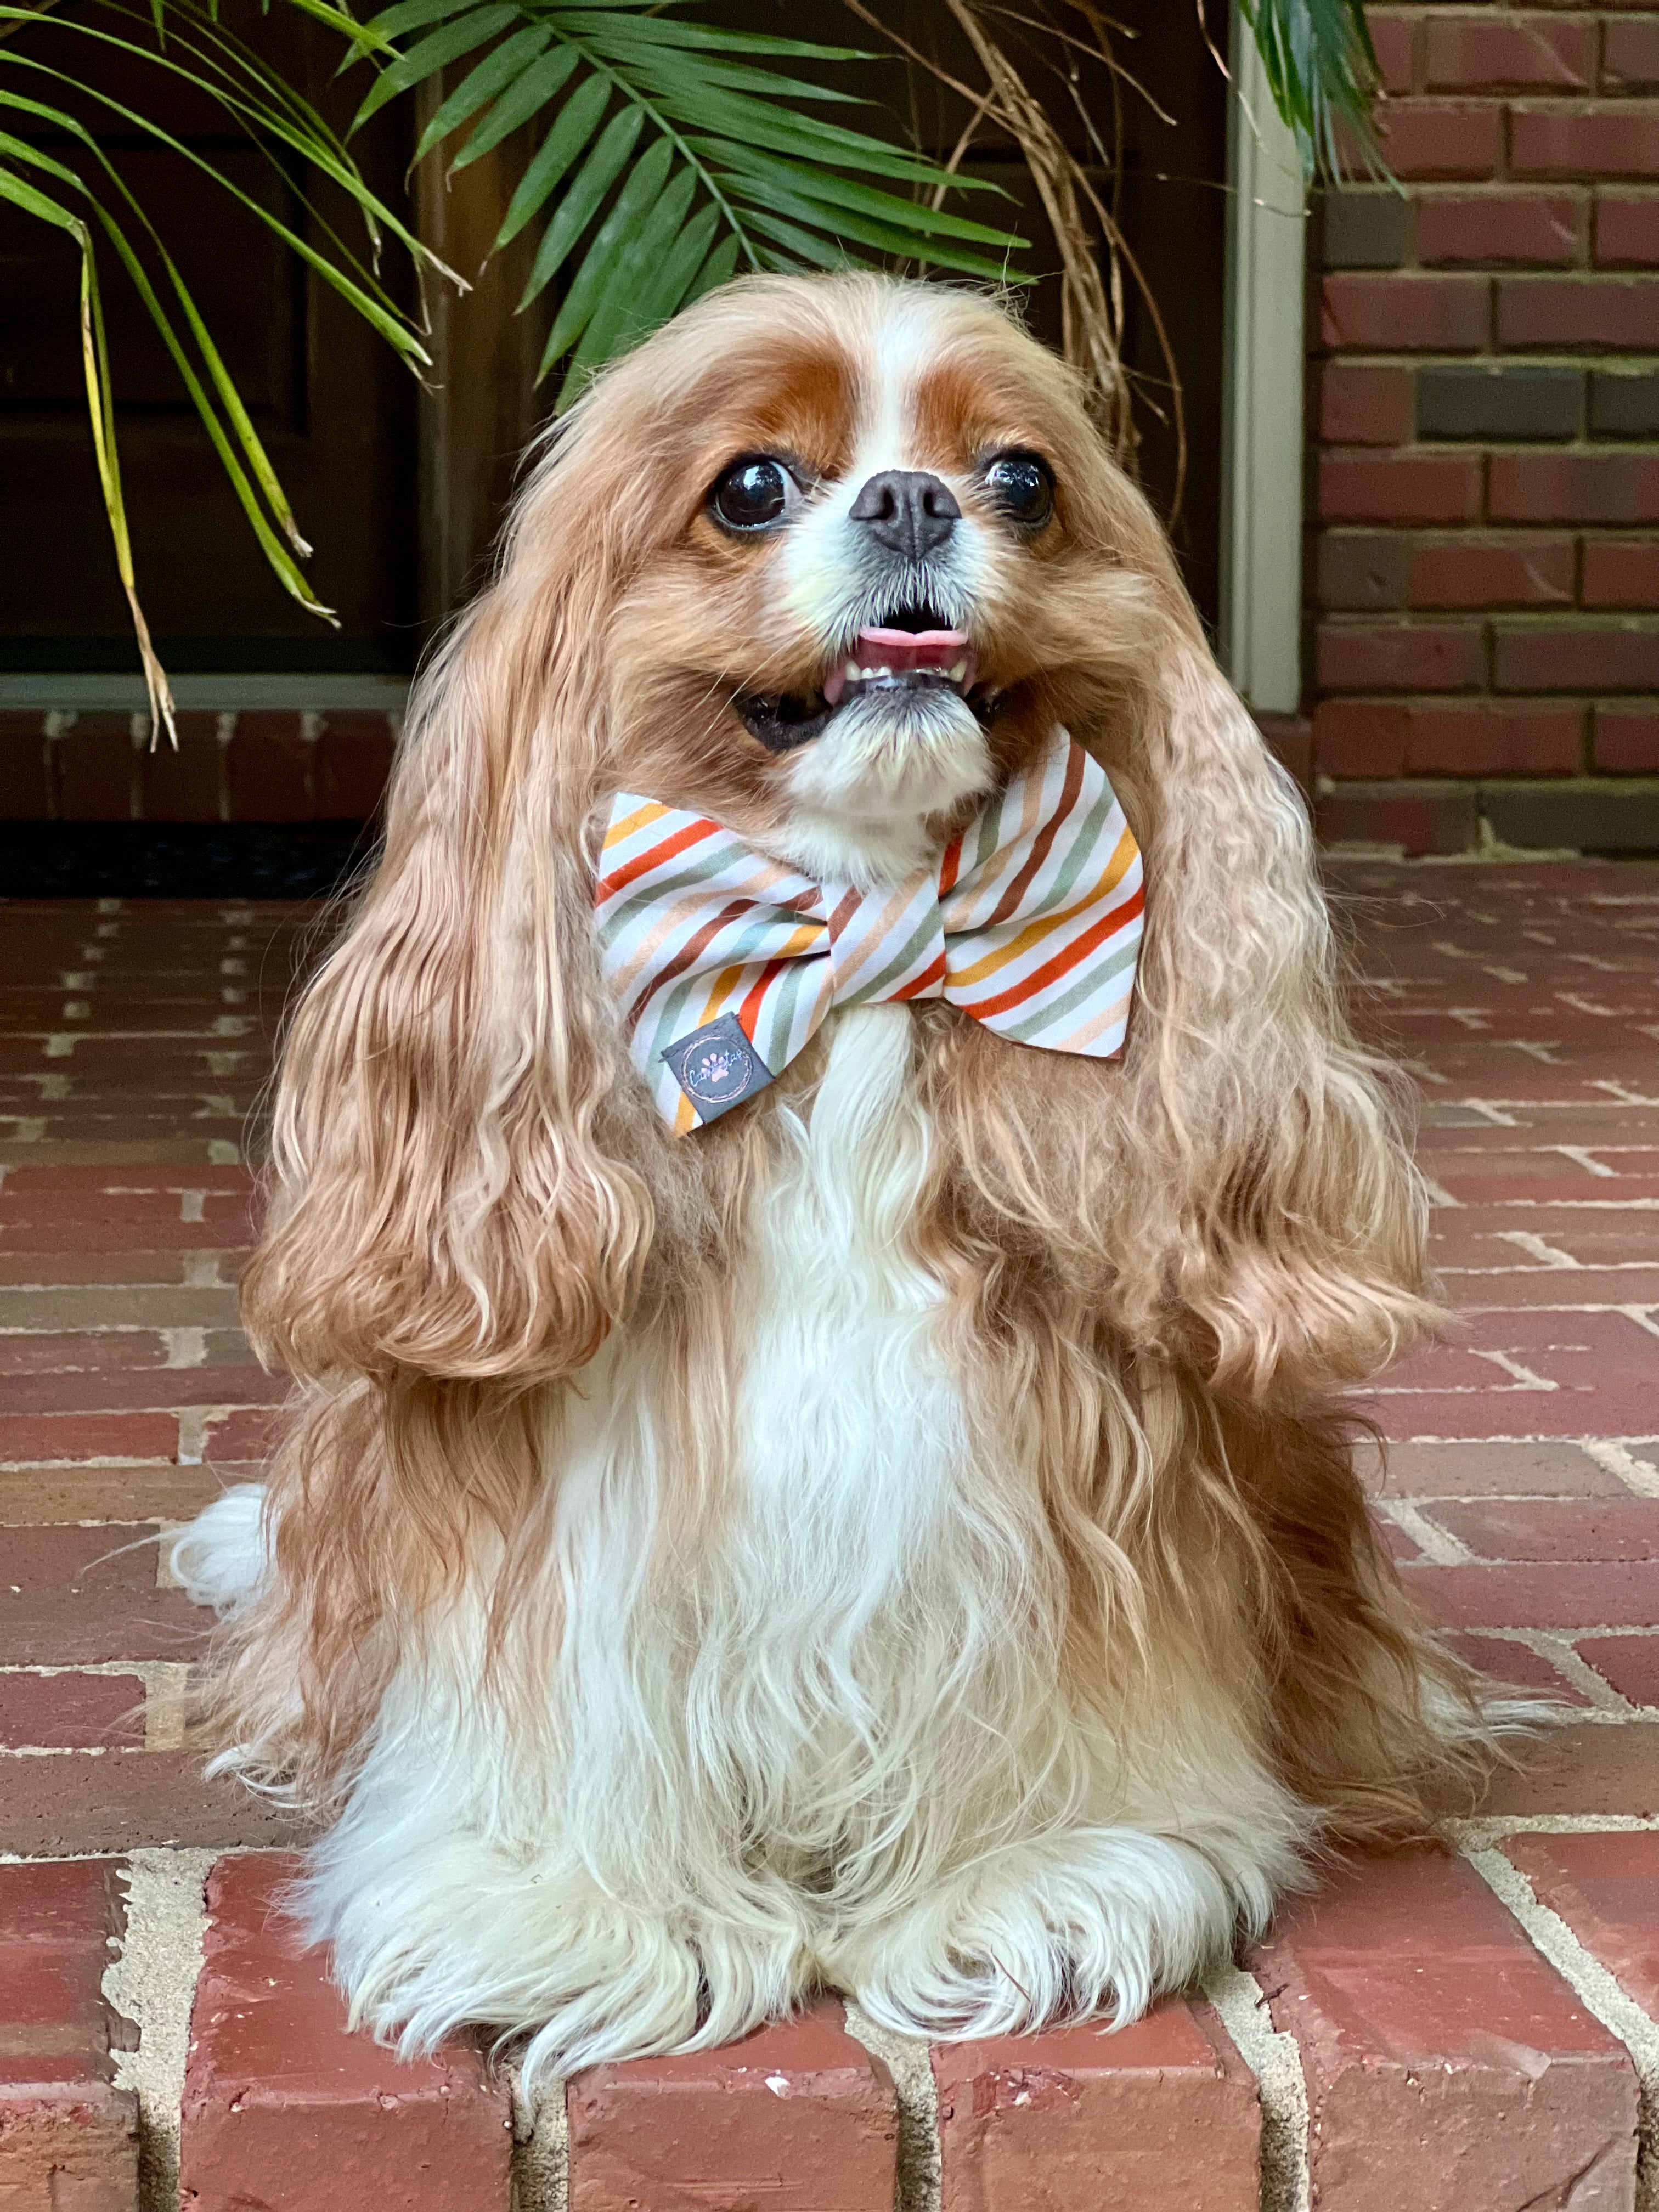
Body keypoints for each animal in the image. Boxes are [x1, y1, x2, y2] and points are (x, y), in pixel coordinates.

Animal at [176, 272, 1504, 2070]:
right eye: (752, 486)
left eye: (1021, 479)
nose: (913, 501)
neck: (860, 928)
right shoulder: (586, 1495)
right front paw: (576, 1905)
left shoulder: (1064, 1462)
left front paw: (1041, 1868)